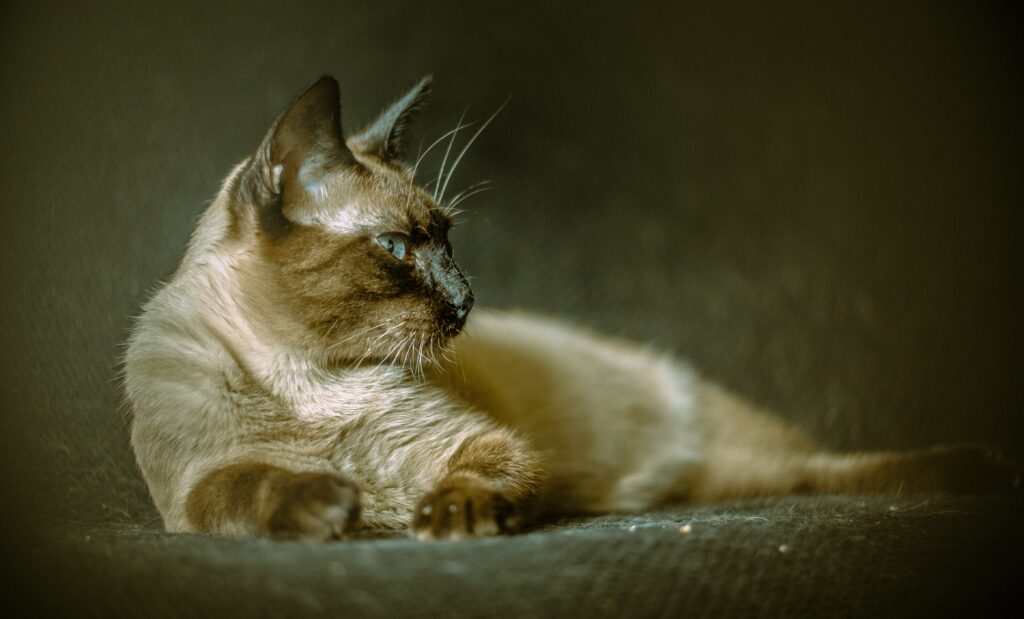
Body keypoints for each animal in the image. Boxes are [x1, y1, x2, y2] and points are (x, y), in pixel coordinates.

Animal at [123, 76, 1019, 541]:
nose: (467, 300)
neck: (313, 381)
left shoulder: (488, 446)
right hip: (734, 476)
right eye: (400, 250)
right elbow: (241, 486)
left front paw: (447, 517)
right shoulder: (187, 495)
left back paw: (978, 469)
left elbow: (477, 475)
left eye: (448, 241)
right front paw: (327, 505)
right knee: (801, 476)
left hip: (749, 448)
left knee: (829, 469)